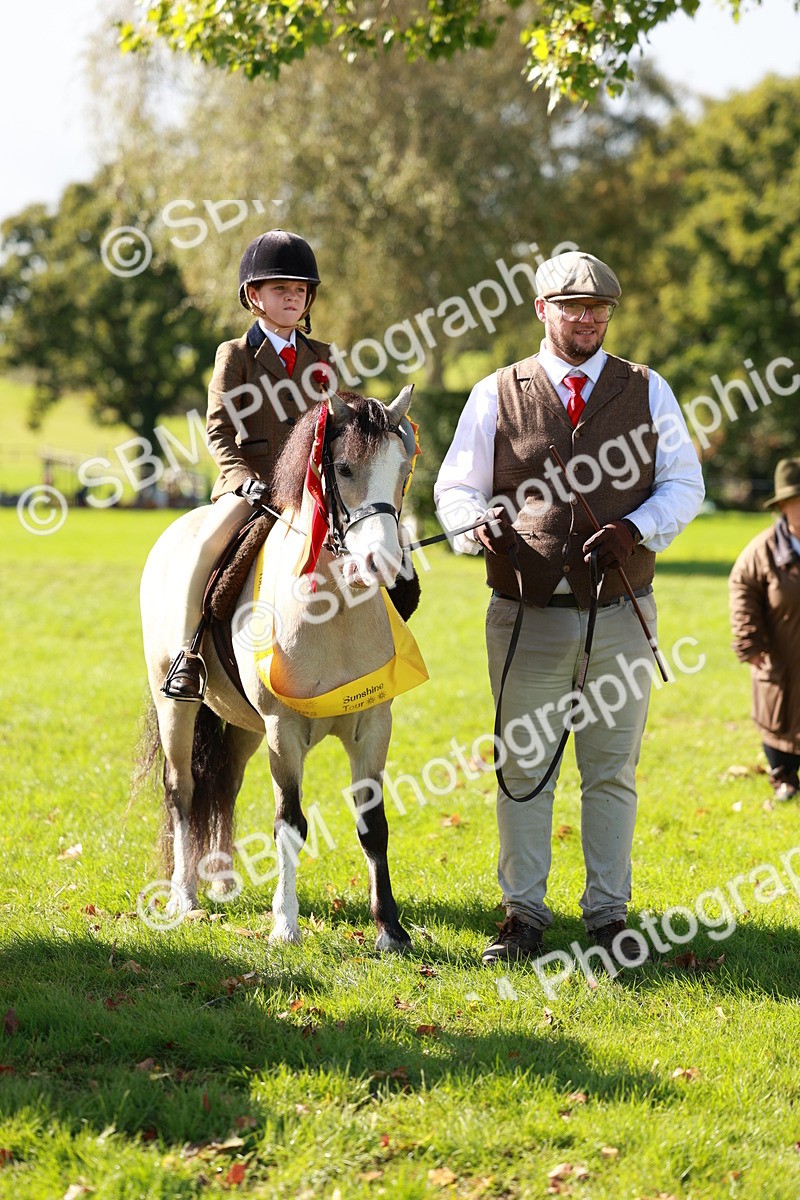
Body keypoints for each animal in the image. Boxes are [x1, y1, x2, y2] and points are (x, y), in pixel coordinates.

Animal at [139, 386, 419, 951]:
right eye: (344, 468)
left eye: (403, 470)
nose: (382, 565)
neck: (335, 612)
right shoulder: (283, 732)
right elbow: (288, 823)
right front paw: (285, 925)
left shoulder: (373, 727)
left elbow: (373, 825)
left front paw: (390, 929)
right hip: (176, 706)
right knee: (183, 790)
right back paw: (184, 898)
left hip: (244, 725)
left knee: (225, 783)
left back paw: (221, 881)